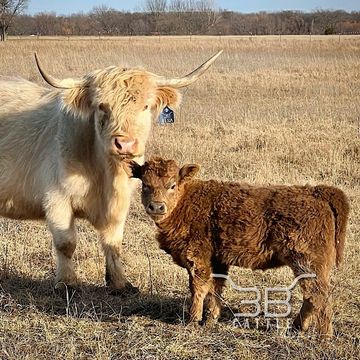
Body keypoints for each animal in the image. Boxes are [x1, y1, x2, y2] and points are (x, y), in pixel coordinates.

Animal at [126, 156, 348, 336]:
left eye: (172, 185)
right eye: (145, 185)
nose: (156, 206)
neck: (185, 201)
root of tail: (316, 192)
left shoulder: (197, 257)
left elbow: (198, 287)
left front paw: (192, 321)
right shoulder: (217, 260)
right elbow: (215, 289)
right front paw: (210, 320)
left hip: (306, 263)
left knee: (320, 296)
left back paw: (323, 338)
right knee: (311, 297)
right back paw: (296, 329)